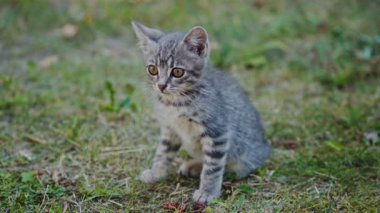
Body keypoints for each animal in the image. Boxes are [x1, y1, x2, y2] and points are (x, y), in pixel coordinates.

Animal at [131, 21, 270, 203]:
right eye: (152, 69)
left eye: (177, 72)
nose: (161, 86)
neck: (175, 102)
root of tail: (264, 147)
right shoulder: (170, 128)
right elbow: (163, 153)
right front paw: (157, 173)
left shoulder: (217, 132)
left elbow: (213, 166)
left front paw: (207, 192)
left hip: (244, 155)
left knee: (232, 166)